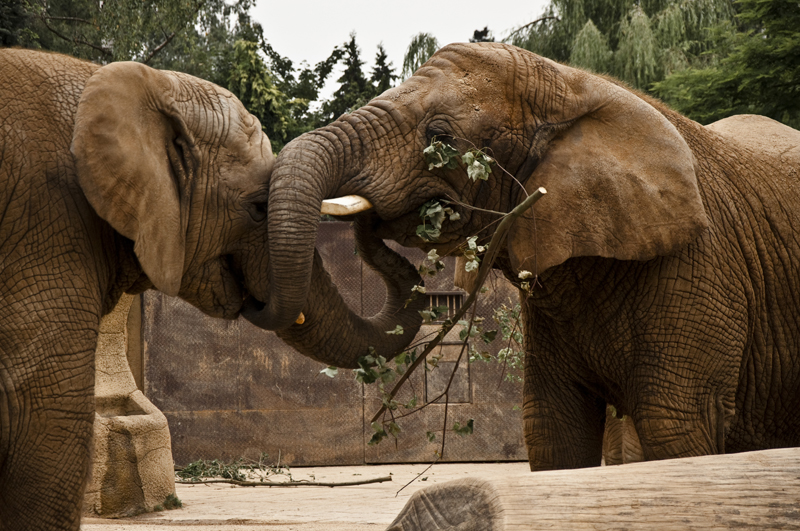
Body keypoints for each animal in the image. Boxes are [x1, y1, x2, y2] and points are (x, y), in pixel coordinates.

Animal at [266, 42, 800, 474]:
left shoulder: (699, 267)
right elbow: (552, 430)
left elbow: (677, 427)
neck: (573, 85)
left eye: (440, 137)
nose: (374, 221)